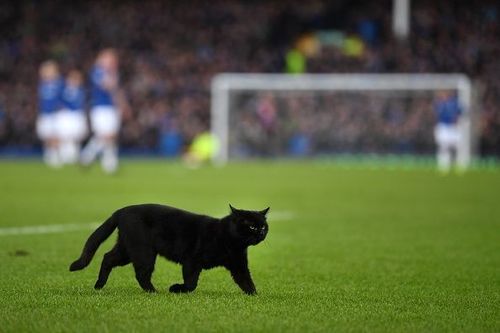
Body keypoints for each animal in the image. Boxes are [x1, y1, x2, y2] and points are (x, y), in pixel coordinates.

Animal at [70, 202, 270, 294]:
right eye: (252, 227)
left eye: (263, 227)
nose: (260, 234)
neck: (231, 241)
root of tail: (120, 211)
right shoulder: (191, 261)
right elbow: (191, 283)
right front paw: (176, 288)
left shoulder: (239, 265)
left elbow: (246, 281)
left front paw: (255, 296)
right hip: (143, 251)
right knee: (141, 273)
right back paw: (154, 292)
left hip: (126, 249)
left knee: (107, 257)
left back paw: (99, 285)